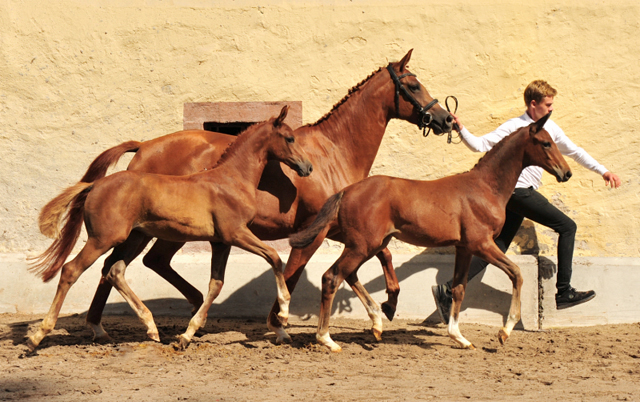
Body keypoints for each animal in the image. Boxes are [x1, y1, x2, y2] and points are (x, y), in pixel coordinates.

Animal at [27, 105, 312, 350]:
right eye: (290, 138)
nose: (307, 167)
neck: (230, 180)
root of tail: (94, 185)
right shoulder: (236, 233)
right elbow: (274, 257)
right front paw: (284, 313)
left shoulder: (221, 241)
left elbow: (216, 284)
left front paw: (186, 335)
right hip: (103, 239)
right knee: (71, 270)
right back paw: (39, 336)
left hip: (134, 237)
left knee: (114, 270)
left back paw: (150, 327)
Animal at [288, 113, 568, 352]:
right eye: (546, 143)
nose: (566, 172)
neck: (484, 188)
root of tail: (346, 191)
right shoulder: (482, 244)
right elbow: (516, 273)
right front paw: (504, 332)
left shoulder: (464, 248)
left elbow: (459, 288)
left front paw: (460, 337)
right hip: (363, 245)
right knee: (332, 277)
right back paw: (327, 339)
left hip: (368, 244)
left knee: (349, 274)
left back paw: (377, 323)